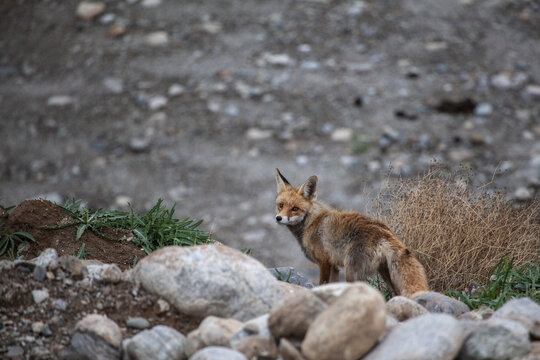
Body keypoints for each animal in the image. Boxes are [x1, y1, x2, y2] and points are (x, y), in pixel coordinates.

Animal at [276, 169, 428, 298]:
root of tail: (385, 232)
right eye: (281, 205)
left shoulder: (324, 262)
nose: (278, 218)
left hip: (352, 273)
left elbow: (322, 284)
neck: (311, 222)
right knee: (397, 294)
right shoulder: (334, 266)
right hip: (385, 274)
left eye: (295, 208)